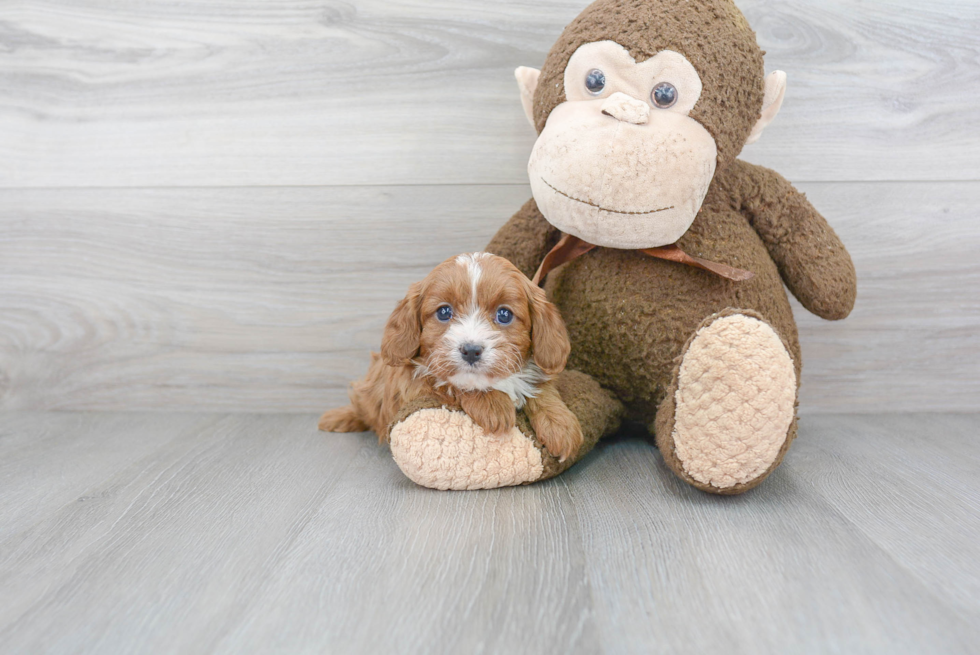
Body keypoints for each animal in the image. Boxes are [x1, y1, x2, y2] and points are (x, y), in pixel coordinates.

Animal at [320, 251, 580, 462]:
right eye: (444, 312)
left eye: (504, 314)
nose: (471, 350)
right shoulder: (414, 385)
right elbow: (449, 384)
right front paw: (492, 404)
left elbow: (540, 388)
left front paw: (561, 425)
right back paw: (340, 418)